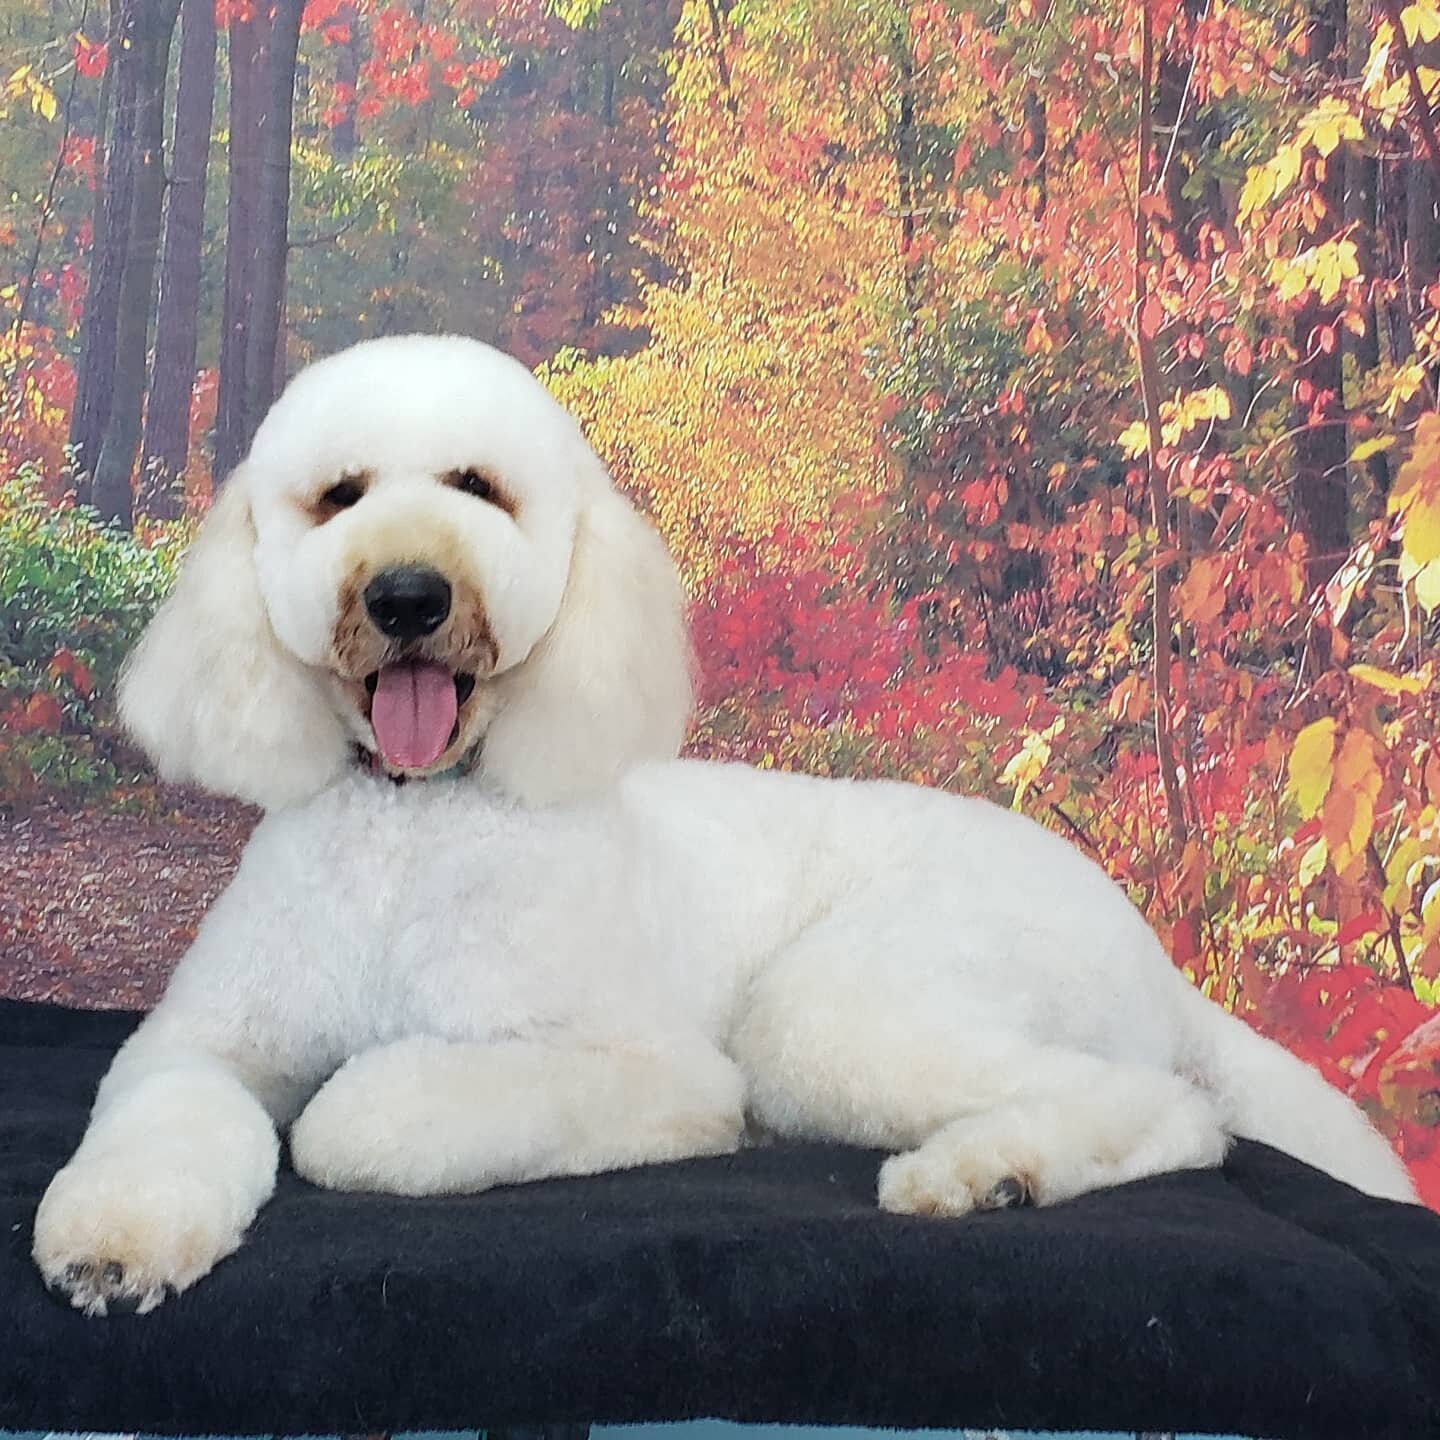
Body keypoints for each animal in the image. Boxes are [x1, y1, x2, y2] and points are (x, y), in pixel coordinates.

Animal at [33, 334, 1416, 1319]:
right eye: (336, 497)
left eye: (482, 490)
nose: (409, 595)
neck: (411, 826)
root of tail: (1150, 950)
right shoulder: (200, 1045)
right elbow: (162, 1118)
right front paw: (113, 1245)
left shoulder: (653, 1074)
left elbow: (350, 1120)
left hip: (837, 1008)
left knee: (1173, 1113)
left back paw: (986, 1173)